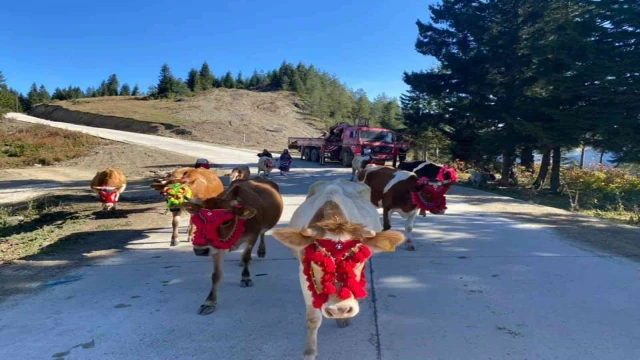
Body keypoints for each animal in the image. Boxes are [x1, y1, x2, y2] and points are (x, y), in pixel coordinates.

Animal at [186, 179, 284, 314]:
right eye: (199, 219)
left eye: (226, 221)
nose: (200, 251)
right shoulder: (215, 248)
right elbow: (216, 275)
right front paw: (209, 302)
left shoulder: (252, 237)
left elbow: (246, 256)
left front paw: (246, 278)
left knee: (263, 233)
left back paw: (261, 251)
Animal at [272, 179, 404, 360]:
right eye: (317, 259)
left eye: (358, 258)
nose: (340, 309)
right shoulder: (303, 273)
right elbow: (313, 319)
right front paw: (310, 352)